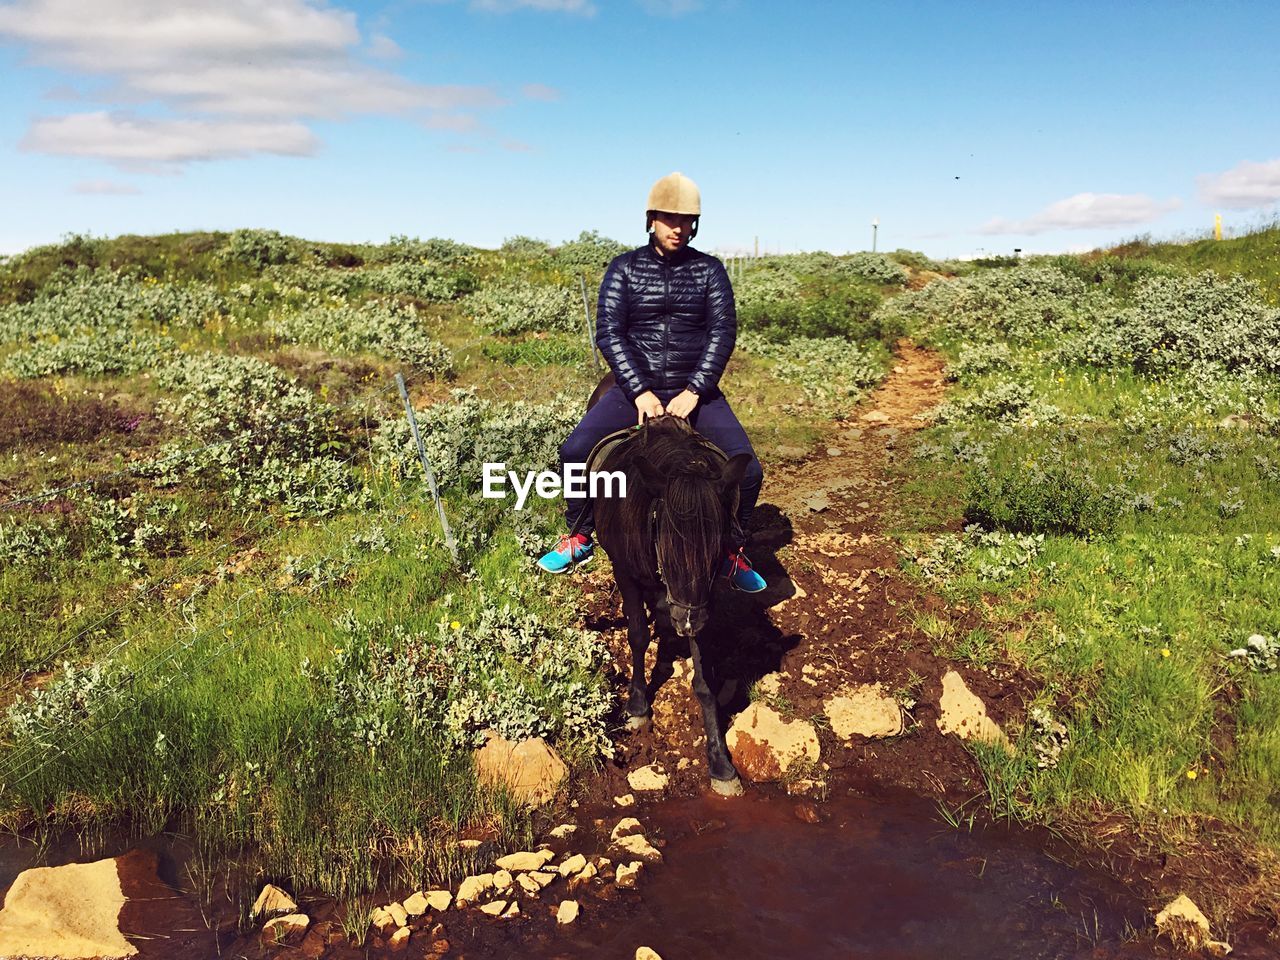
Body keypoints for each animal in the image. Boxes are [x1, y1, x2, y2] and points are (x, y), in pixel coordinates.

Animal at [588, 384, 747, 798]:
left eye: (717, 548)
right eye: (663, 538)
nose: (685, 624)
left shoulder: (703, 599)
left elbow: (704, 680)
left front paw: (720, 762)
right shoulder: (625, 573)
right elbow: (638, 635)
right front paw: (637, 706)